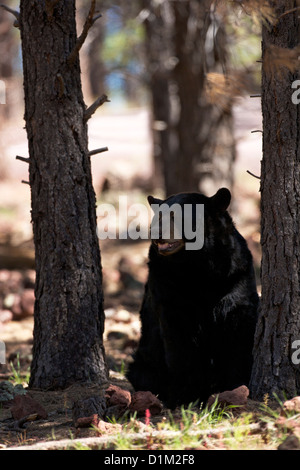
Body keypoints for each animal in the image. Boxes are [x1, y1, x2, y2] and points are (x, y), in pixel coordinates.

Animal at [125, 187, 258, 408]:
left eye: (177, 216)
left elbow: (238, 332)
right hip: (146, 360)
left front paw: (236, 387)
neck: (195, 265)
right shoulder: (166, 285)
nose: (155, 233)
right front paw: (184, 397)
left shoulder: (235, 275)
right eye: (158, 217)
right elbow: (179, 342)